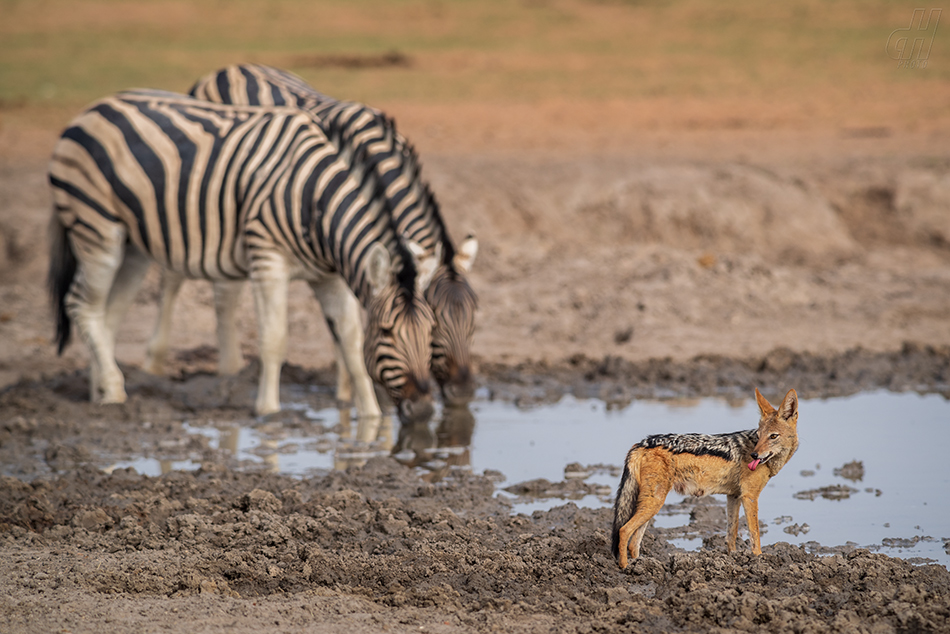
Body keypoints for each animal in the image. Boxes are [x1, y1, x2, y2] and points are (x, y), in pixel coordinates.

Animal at [47, 89, 438, 422]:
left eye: (431, 331)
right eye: (387, 332)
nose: (422, 410)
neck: (313, 202)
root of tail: (91, 109)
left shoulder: (330, 275)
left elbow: (352, 343)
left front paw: (370, 418)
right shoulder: (268, 257)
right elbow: (274, 339)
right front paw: (268, 411)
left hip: (133, 248)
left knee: (107, 315)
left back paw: (101, 394)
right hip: (97, 230)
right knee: (82, 305)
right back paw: (114, 391)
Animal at [150, 64, 480, 404]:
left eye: (474, 322)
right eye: (436, 325)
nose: (464, 391)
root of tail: (227, 69)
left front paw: (350, 394)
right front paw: (352, 393)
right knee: (176, 274)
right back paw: (161, 364)